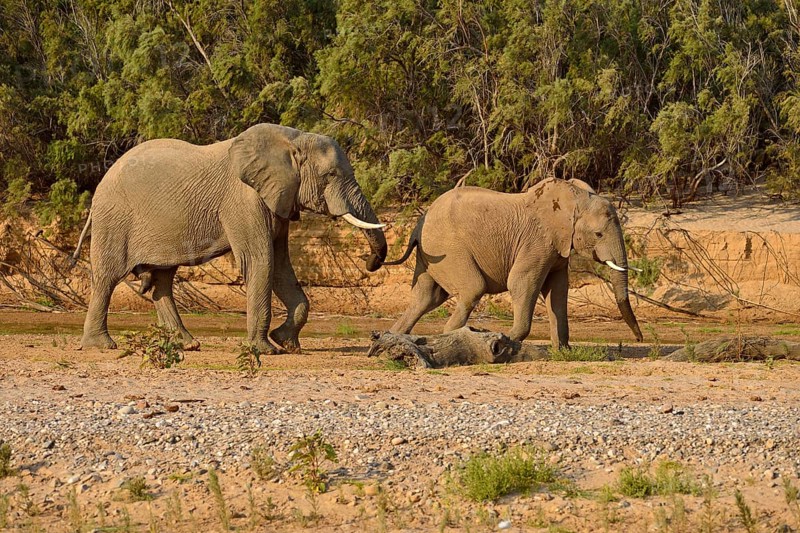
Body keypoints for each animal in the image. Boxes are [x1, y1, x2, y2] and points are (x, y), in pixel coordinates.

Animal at [72, 123, 387, 353]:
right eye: (330, 175)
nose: (368, 261)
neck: (292, 139)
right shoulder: (243, 200)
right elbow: (261, 261)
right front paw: (265, 350)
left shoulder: (278, 199)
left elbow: (281, 268)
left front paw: (287, 343)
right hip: (114, 219)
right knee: (107, 277)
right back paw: (102, 346)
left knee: (162, 280)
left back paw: (188, 344)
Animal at [385, 178, 643, 348]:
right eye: (598, 234)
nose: (639, 338)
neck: (574, 198)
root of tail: (419, 222)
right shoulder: (538, 240)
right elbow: (521, 282)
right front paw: (508, 340)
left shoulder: (558, 250)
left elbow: (558, 291)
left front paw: (563, 351)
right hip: (447, 248)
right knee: (472, 289)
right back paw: (451, 335)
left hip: (431, 252)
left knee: (426, 297)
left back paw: (394, 336)